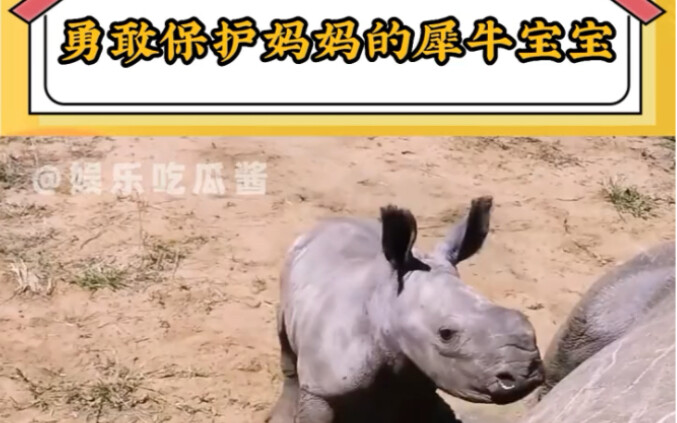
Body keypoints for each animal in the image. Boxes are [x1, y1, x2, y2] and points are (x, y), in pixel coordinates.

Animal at [268, 196, 545, 423]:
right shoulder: (321, 388)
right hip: (290, 271)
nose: (525, 372)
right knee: (285, 340)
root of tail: (324, 225)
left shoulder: (422, 377)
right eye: (446, 334)